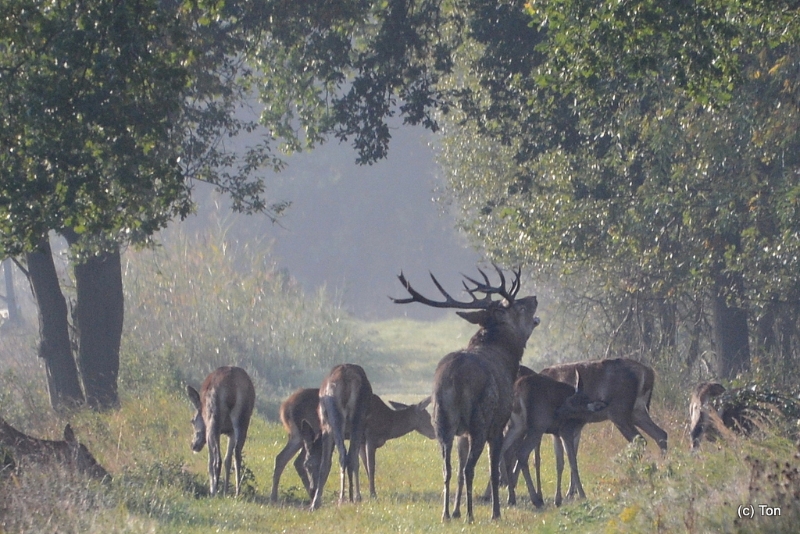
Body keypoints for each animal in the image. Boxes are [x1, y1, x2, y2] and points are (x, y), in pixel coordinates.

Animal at [186, 366, 255, 500]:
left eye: (192, 420)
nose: (193, 445)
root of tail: (232, 384)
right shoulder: (230, 432)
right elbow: (228, 460)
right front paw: (226, 490)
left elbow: (210, 460)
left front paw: (214, 489)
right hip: (243, 420)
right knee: (237, 455)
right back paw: (237, 492)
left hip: (214, 420)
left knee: (217, 459)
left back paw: (215, 491)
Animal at [312, 364, 376, 510]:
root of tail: (346, 377)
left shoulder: (325, 426)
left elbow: (325, 463)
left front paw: (315, 502)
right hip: (357, 417)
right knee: (350, 455)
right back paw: (354, 497)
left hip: (335, 418)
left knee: (343, 454)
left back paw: (343, 497)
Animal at [392, 266, 540, 520]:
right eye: (518, 307)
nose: (534, 298)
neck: (508, 360)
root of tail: (454, 377)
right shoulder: (498, 423)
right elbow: (492, 469)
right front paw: (494, 512)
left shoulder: (461, 434)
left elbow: (459, 470)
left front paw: (456, 510)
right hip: (480, 419)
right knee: (471, 468)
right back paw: (472, 515)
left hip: (442, 420)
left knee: (447, 469)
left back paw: (446, 514)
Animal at [500, 370, 608, 508]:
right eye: (568, 400)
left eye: (571, 402)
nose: (557, 412)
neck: (581, 420)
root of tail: (517, 390)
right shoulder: (566, 431)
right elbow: (573, 462)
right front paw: (582, 494)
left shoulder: (556, 434)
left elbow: (560, 463)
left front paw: (558, 499)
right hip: (537, 426)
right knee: (521, 453)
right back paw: (535, 499)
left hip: (516, 425)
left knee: (504, 451)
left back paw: (511, 498)